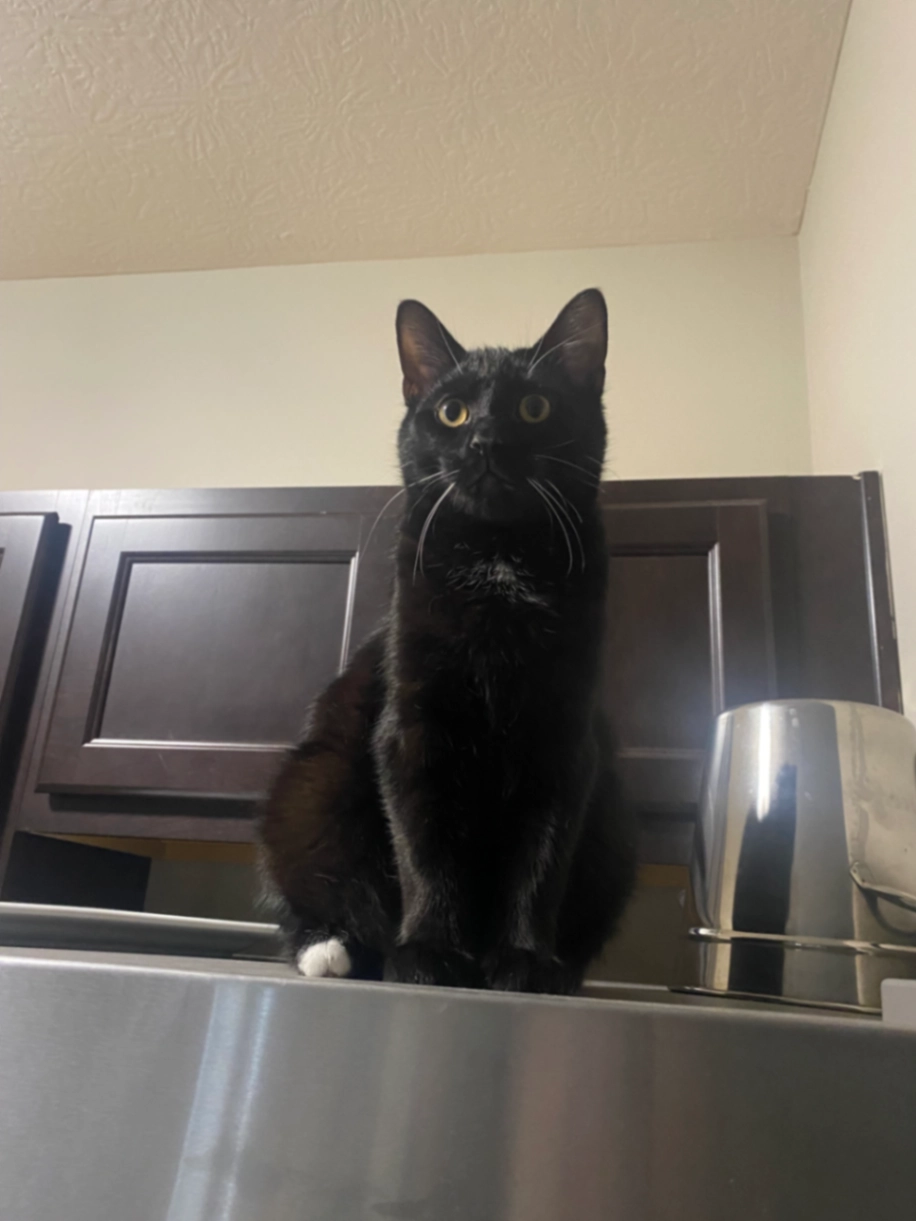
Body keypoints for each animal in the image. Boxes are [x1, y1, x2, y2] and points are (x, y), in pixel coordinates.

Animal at [259, 288, 636, 993]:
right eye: (452, 412)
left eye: (535, 406)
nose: (486, 440)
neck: (498, 560)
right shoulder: (412, 725)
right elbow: (423, 844)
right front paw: (429, 950)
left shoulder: (564, 736)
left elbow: (543, 857)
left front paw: (525, 958)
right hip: (310, 785)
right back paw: (332, 946)